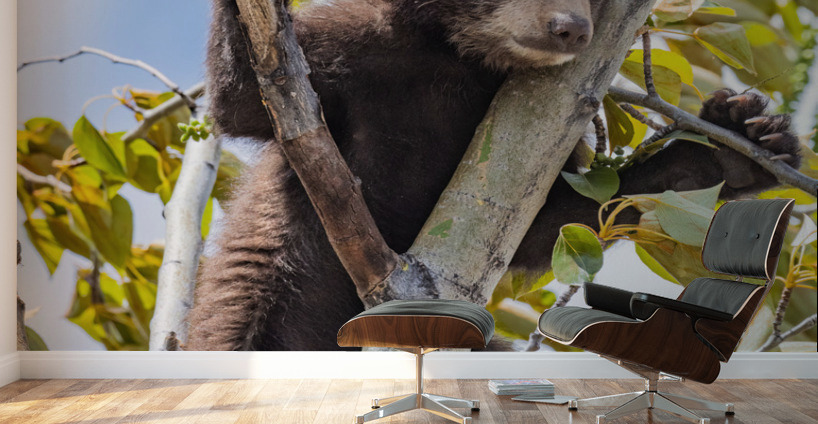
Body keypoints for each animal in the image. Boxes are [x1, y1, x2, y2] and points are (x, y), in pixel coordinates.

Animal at [186, 0, 801, 351]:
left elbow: (555, 220)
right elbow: (248, 97)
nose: (571, 29)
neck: (459, 56)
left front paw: (739, 144)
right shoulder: (351, 46)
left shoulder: (545, 127)